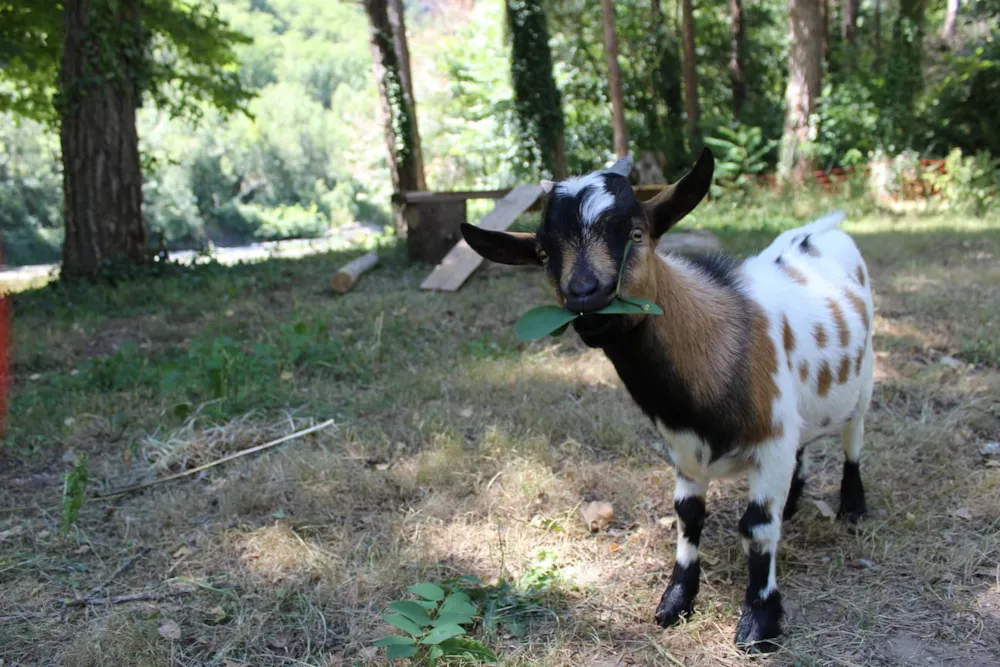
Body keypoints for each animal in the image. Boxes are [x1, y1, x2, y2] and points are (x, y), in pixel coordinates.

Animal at [460, 150, 876, 652]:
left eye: (637, 234)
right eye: (543, 253)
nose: (586, 295)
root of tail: (822, 229)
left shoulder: (770, 440)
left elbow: (756, 526)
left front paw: (760, 621)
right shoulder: (685, 450)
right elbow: (688, 516)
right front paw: (676, 600)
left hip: (863, 380)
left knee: (853, 440)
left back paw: (853, 507)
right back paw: (794, 500)